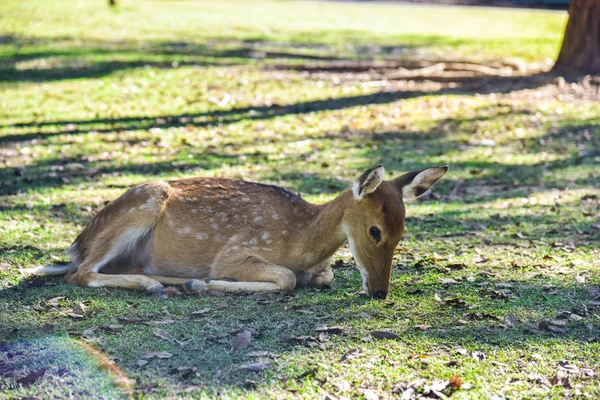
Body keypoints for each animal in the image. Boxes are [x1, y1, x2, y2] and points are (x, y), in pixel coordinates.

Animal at [25, 164, 448, 298]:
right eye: (375, 230)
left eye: (403, 232)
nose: (379, 291)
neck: (299, 240)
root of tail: (76, 246)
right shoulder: (236, 250)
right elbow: (285, 278)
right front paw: (209, 282)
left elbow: (324, 276)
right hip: (143, 201)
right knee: (80, 273)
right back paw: (166, 284)